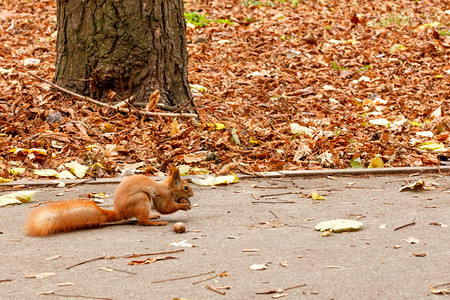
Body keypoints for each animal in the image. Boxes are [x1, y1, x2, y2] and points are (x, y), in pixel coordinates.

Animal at [24, 164, 192, 237]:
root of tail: (119, 211)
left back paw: (153, 216)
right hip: (141, 199)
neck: (168, 188)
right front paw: (183, 205)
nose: (192, 194)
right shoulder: (163, 196)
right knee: (142, 221)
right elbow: (165, 208)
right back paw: (156, 222)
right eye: (186, 187)